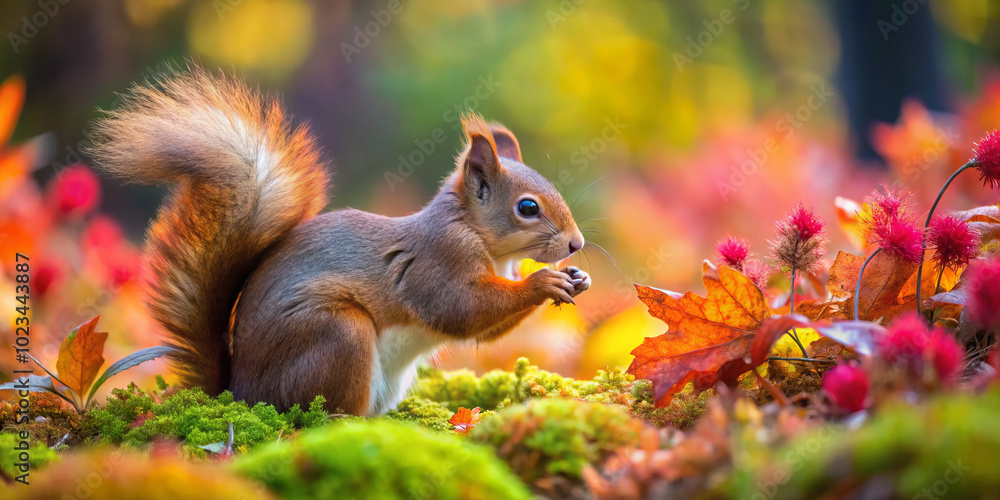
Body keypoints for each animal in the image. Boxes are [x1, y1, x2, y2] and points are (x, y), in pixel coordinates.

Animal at [88, 67, 590, 416]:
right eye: (527, 207)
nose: (576, 245)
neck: (479, 237)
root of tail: (239, 392)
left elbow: (485, 329)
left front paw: (577, 278)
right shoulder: (438, 261)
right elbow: (459, 309)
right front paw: (543, 283)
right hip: (336, 335)